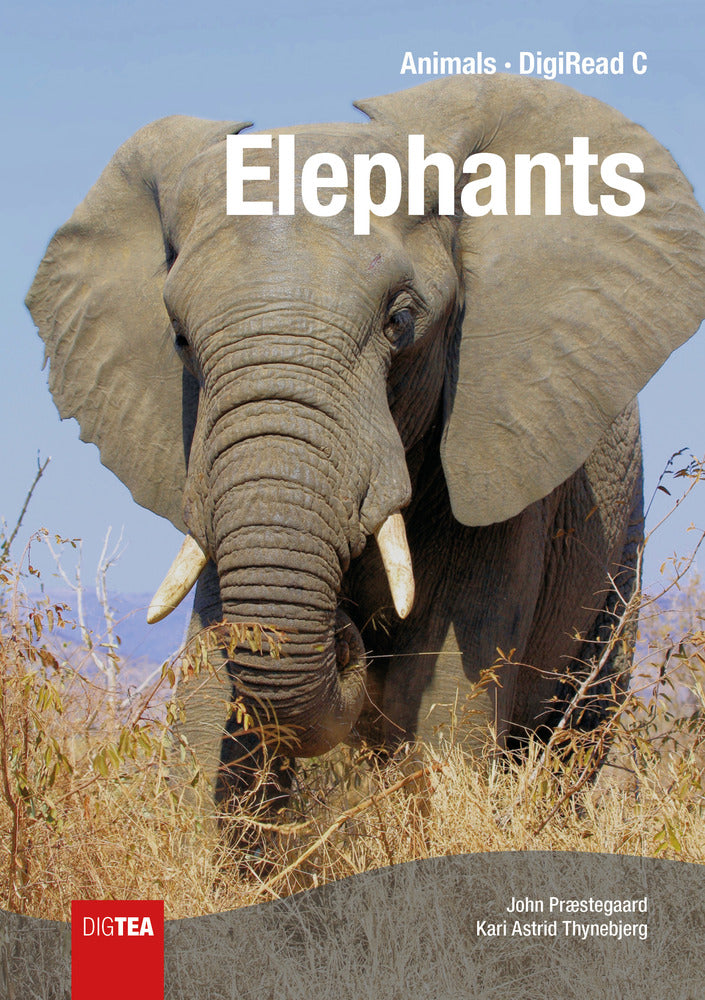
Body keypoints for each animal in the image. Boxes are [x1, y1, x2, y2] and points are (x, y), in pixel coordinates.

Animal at [26, 75, 705, 808]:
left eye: (400, 321)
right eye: (178, 337)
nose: (348, 635)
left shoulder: (502, 454)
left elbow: (442, 704)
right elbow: (215, 697)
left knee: (574, 734)